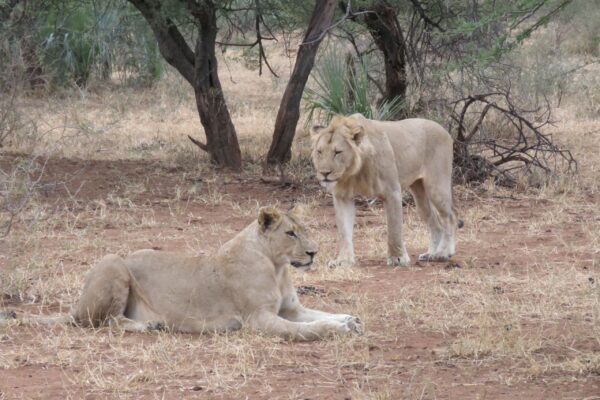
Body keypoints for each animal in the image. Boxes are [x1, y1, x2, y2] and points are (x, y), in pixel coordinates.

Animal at [0, 206, 360, 340]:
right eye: (290, 233)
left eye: (306, 230)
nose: (314, 252)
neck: (277, 266)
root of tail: (76, 307)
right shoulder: (257, 318)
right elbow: (306, 329)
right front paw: (337, 328)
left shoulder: (290, 309)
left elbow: (319, 312)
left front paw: (350, 319)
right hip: (114, 261)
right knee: (106, 322)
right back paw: (149, 325)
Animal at [312, 114, 462, 268]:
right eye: (319, 152)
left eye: (337, 152)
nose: (324, 173)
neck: (354, 172)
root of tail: (442, 129)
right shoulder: (342, 197)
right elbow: (344, 232)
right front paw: (343, 261)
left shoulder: (392, 191)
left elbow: (394, 229)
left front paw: (398, 259)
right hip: (420, 194)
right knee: (435, 223)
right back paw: (431, 253)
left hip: (436, 187)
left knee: (451, 216)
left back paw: (443, 253)